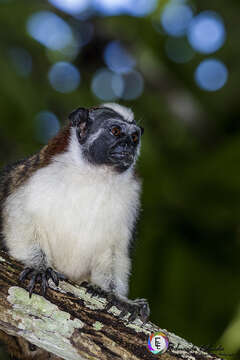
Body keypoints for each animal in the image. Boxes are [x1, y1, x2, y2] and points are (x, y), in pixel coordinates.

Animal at [0, 102, 149, 322]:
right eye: (116, 131)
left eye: (134, 137)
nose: (128, 146)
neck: (96, 174)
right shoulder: (41, 176)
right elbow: (18, 213)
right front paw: (39, 266)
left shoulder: (131, 197)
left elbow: (115, 248)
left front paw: (114, 294)